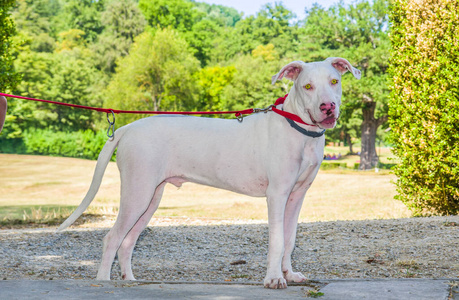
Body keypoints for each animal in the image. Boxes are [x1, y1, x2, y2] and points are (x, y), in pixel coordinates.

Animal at [58, 56, 360, 288]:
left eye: (335, 81)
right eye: (307, 86)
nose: (328, 107)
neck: (299, 130)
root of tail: (127, 128)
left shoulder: (296, 196)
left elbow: (290, 239)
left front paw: (290, 274)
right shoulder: (277, 195)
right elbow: (276, 240)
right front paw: (274, 279)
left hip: (150, 197)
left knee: (127, 241)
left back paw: (130, 280)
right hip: (137, 193)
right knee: (112, 238)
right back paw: (104, 282)